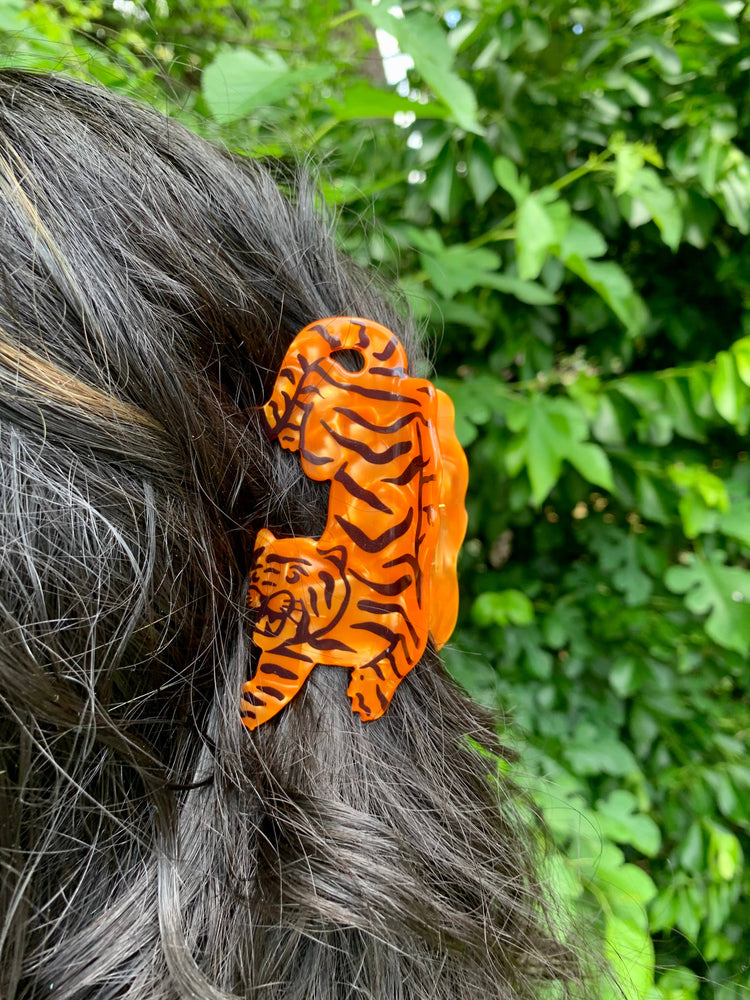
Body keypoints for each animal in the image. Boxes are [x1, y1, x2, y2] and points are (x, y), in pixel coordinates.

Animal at [240, 317, 468, 729]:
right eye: (257, 570)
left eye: (293, 576)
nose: (259, 595)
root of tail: (391, 375)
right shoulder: (291, 654)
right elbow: (268, 691)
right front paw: (245, 719)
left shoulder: (407, 630)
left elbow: (393, 663)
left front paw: (368, 698)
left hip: (324, 445)